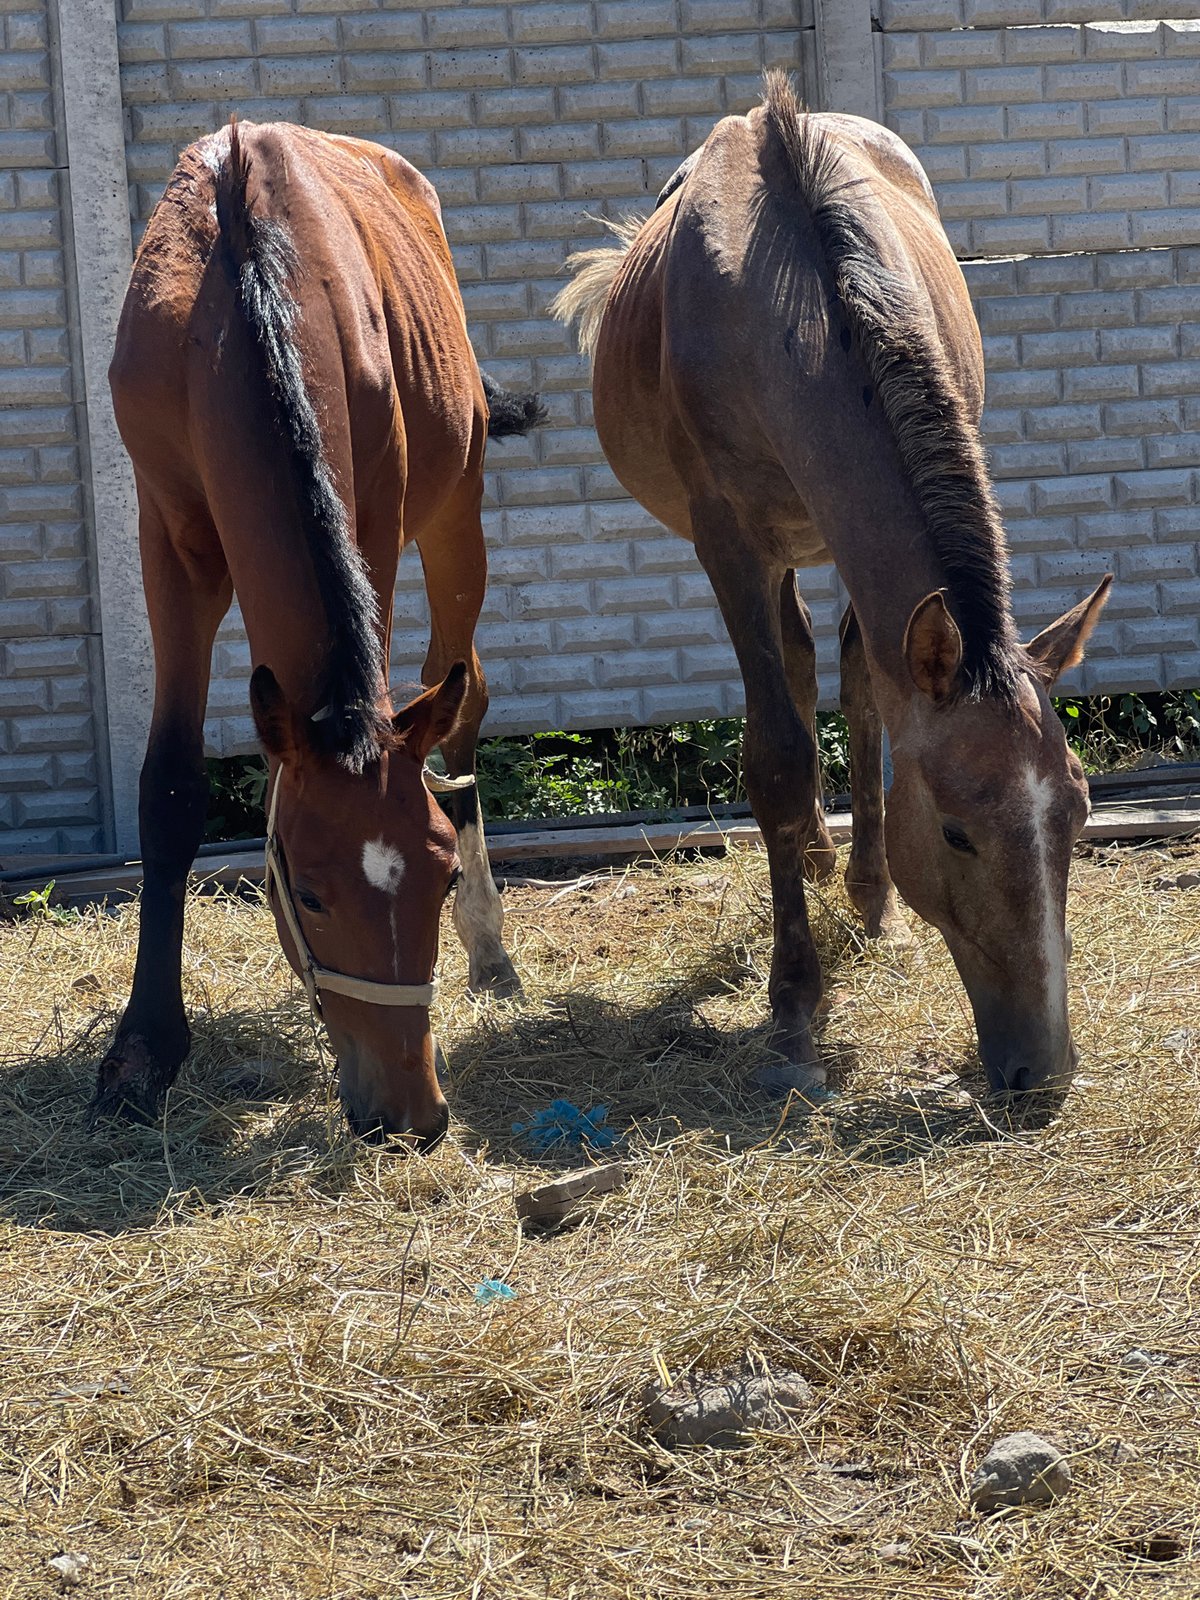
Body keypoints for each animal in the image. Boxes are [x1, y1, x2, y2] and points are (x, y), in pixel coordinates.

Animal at [99, 120, 541, 1147]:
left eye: (437, 880)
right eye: (305, 889)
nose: (411, 1113)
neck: (238, 294)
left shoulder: (372, 522)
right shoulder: (170, 541)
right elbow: (170, 786)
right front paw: (143, 1053)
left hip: (455, 509)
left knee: (462, 691)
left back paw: (490, 953)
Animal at [554, 72, 1111, 1101]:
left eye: (1081, 812)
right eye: (959, 833)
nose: (1044, 1072)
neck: (778, 299)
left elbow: (866, 691)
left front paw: (872, 892)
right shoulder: (729, 542)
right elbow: (776, 756)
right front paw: (793, 1009)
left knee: (835, 668)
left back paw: (847, 875)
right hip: (769, 549)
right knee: (795, 668)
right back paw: (813, 856)